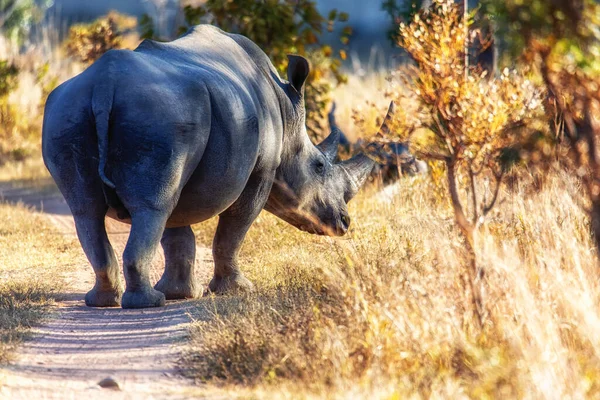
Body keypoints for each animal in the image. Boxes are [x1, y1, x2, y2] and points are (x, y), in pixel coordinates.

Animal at [41, 25, 384, 310]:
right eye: (319, 166)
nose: (344, 223)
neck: (287, 116)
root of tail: (104, 84)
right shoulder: (261, 171)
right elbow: (233, 230)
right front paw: (237, 289)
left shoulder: (185, 170)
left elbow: (177, 234)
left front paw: (180, 293)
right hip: (159, 115)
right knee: (152, 208)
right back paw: (147, 303)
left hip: (70, 111)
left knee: (90, 211)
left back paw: (103, 301)